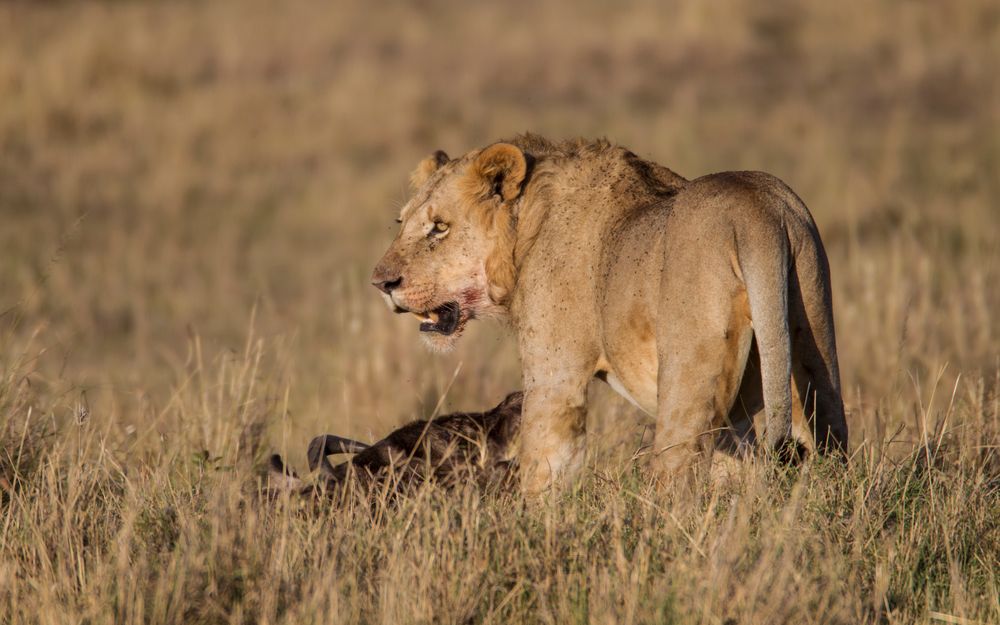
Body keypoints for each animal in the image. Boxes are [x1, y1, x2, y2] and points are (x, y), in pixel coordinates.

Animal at [372, 135, 848, 492]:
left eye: (439, 228)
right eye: (401, 223)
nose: (381, 283)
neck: (526, 231)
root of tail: (756, 214)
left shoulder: (555, 377)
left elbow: (543, 467)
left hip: (688, 381)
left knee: (677, 477)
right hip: (812, 349)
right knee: (828, 445)